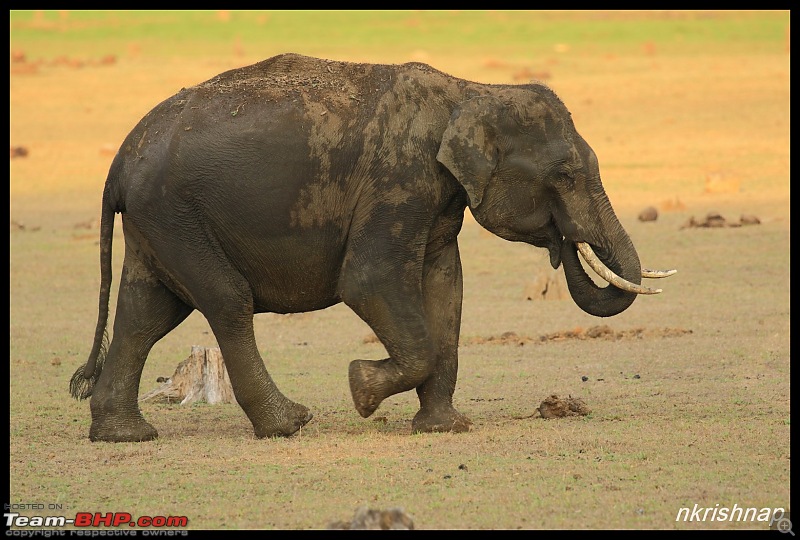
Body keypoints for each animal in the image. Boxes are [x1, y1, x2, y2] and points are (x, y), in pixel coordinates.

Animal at [69, 52, 672, 442]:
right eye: (565, 174)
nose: (563, 243)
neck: (469, 91)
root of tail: (118, 162)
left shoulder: (436, 195)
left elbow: (445, 288)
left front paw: (444, 428)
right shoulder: (399, 179)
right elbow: (369, 281)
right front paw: (361, 389)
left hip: (158, 224)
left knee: (147, 311)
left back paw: (125, 435)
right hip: (175, 214)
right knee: (225, 300)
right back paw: (290, 424)